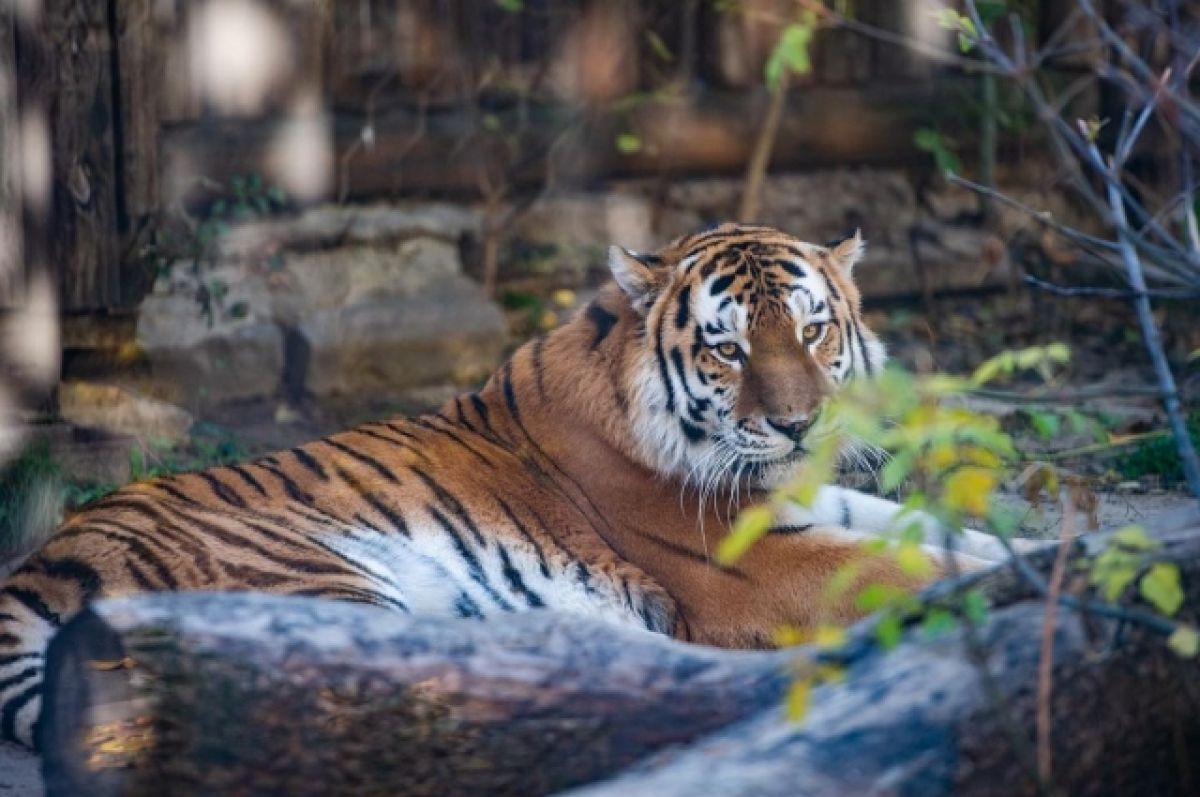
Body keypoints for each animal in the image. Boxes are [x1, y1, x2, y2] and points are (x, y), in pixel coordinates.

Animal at [0, 222, 1017, 748]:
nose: (802, 425)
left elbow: (946, 532)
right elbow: (907, 568)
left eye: (811, 330)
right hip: (317, 588)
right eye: (728, 348)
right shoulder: (751, 563)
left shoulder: (799, 503)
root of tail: (44, 560)